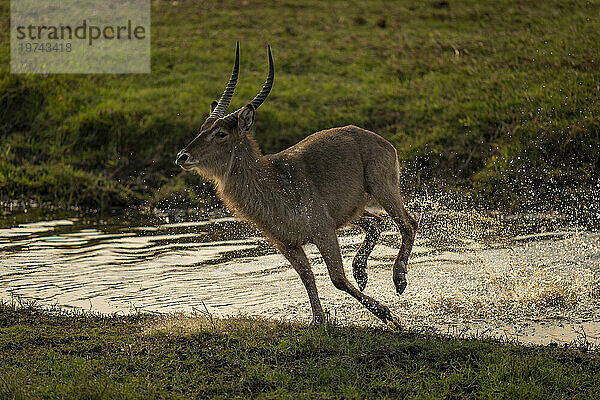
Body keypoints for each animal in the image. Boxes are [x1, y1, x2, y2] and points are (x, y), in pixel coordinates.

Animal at [176, 43, 414, 324]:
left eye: (221, 133)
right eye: (203, 127)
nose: (182, 156)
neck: (273, 182)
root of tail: (375, 137)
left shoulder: (323, 231)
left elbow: (337, 278)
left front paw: (384, 312)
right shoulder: (286, 243)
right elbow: (306, 277)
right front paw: (318, 320)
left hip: (382, 188)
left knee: (408, 223)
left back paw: (399, 279)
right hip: (350, 211)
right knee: (377, 222)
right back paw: (361, 272)